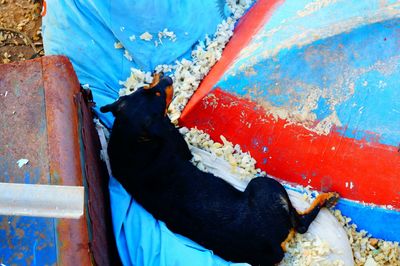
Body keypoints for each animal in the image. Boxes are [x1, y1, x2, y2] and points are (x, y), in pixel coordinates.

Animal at [101, 74, 340, 264]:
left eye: (145, 89)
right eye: (159, 96)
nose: (167, 77)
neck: (132, 140)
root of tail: (273, 248)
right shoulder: (178, 145)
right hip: (264, 185)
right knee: (301, 223)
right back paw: (328, 197)